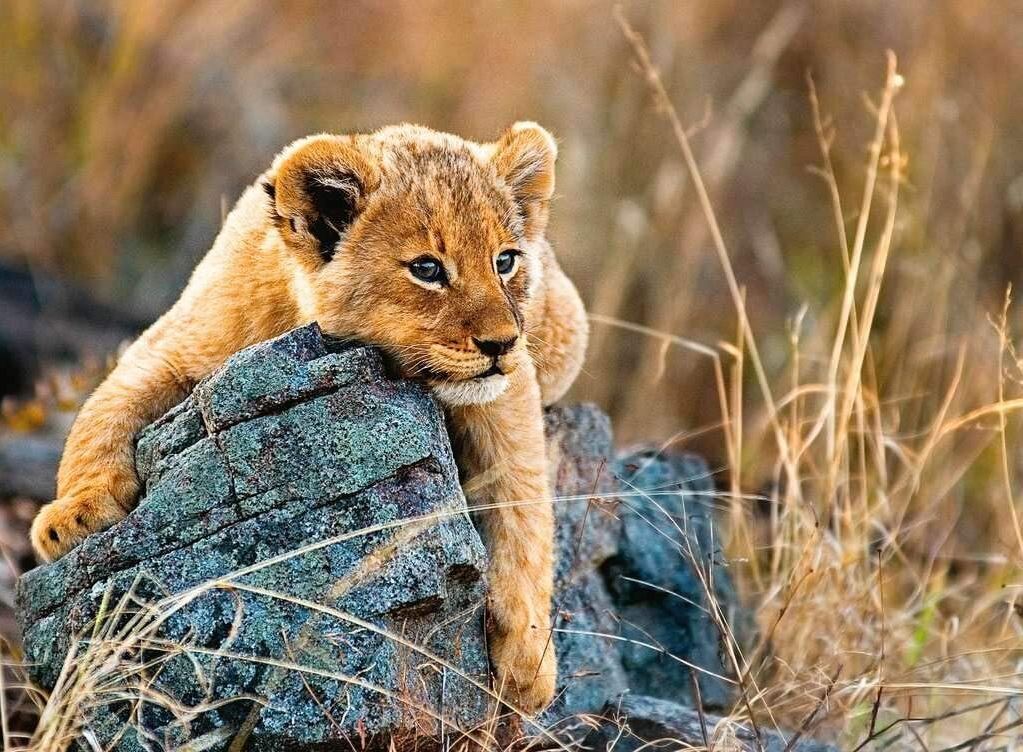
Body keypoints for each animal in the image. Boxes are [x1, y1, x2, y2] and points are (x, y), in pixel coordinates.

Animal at [29, 122, 588, 712]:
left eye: (505, 261)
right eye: (427, 269)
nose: (502, 343)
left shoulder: (507, 394)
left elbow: (524, 509)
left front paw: (528, 663)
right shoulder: (173, 345)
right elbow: (101, 412)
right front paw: (72, 517)